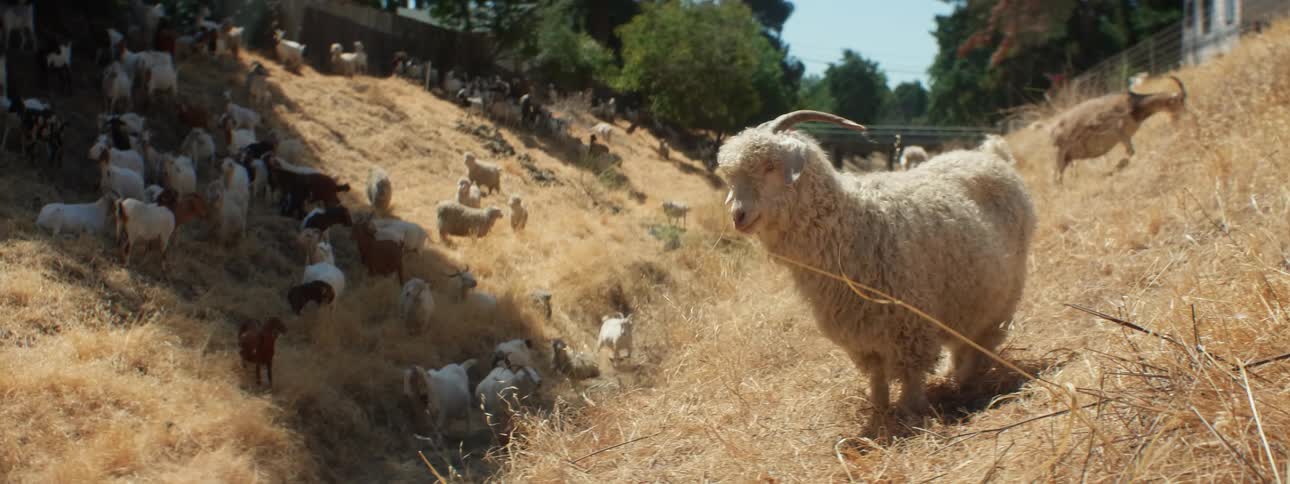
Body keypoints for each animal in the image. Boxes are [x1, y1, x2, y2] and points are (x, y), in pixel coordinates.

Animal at [716, 110, 1036, 421]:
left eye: (770, 166)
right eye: (731, 176)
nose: (738, 215)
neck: (852, 223)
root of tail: (991, 156)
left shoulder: (909, 322)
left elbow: (910, 373)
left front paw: (910, 412)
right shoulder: (860, 331)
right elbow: (877, 375)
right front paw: (879, 411)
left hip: (1005, 289)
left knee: (985, 338)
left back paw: (967, 382)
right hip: (967, 295)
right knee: (964, 339)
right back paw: (954, 373)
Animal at [1048, 75, 1187, 184]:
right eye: (1179, 102)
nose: (1183, 119)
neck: (1134, 106)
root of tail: (1052, 133)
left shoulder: (1126, 136)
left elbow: (1130, 153)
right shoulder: (1120, 132)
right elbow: (1130, 153)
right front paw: (1109, 172)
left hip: (1067, 158)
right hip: (1059, 154)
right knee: (1056, 178)